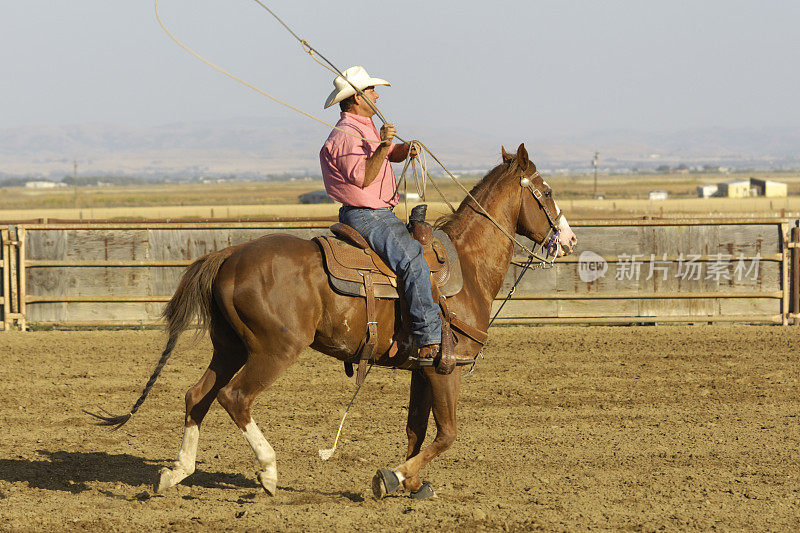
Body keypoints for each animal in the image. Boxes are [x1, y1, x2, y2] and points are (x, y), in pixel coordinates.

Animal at [89, 142, 576, 498]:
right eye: (548, 192)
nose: (569, 239)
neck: (467, 266)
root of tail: (229, 254)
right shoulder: (445, 368)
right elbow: (447, 434)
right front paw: (391, 477)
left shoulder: (422, 368)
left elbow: (417, 430)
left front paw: (413, 482)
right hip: (274, 349)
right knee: (235, 397)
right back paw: (268, 473)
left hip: (229, 347)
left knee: (197, 396)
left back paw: (176, 473)